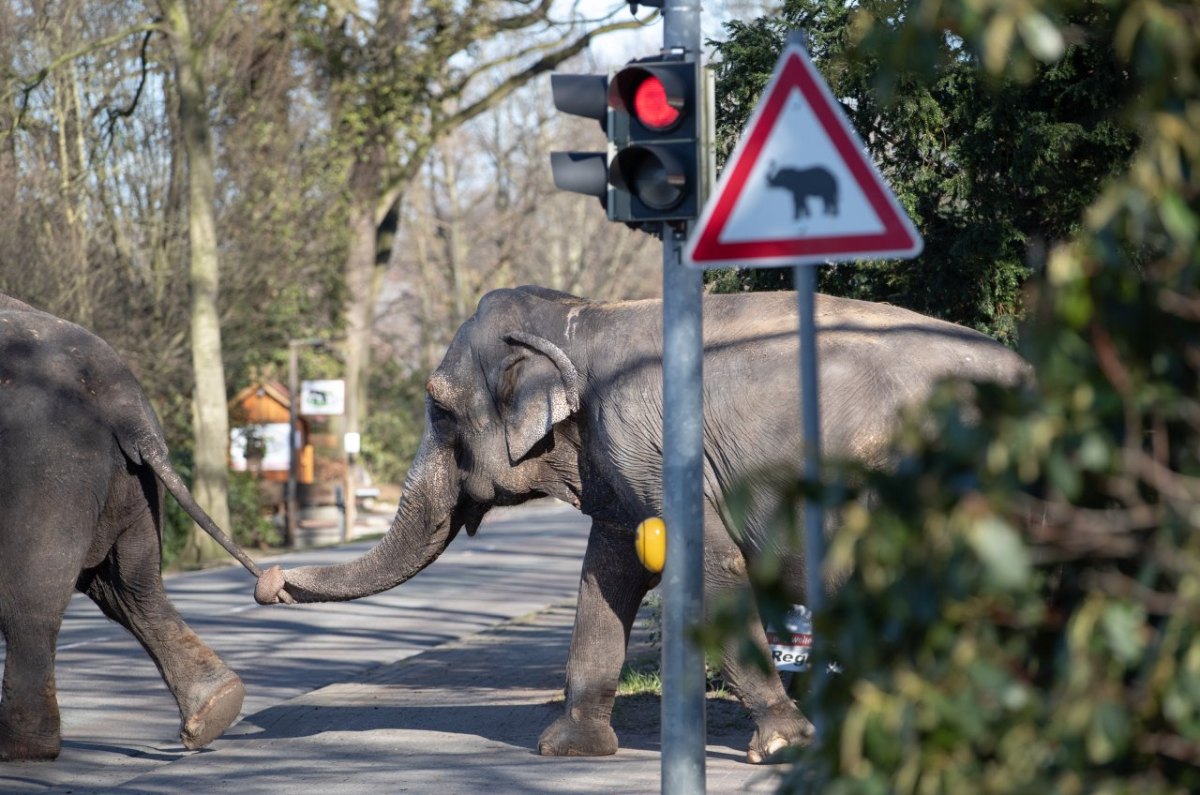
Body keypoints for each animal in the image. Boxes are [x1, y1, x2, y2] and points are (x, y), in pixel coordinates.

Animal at [0, 295, 250, 763]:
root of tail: (123, 402)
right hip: (131, 486)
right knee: (132, 588)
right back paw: (218, 707)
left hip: (46, 473)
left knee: (31, 605)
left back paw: (21, 750)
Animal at [255, 287, 1032, 768]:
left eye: (440, 408)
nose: (268, 580)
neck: (581, 313)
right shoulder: (617, 462)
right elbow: (607, 574)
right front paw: (566, 749)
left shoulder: (652, 443)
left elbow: (710, 568)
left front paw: (780, 748)